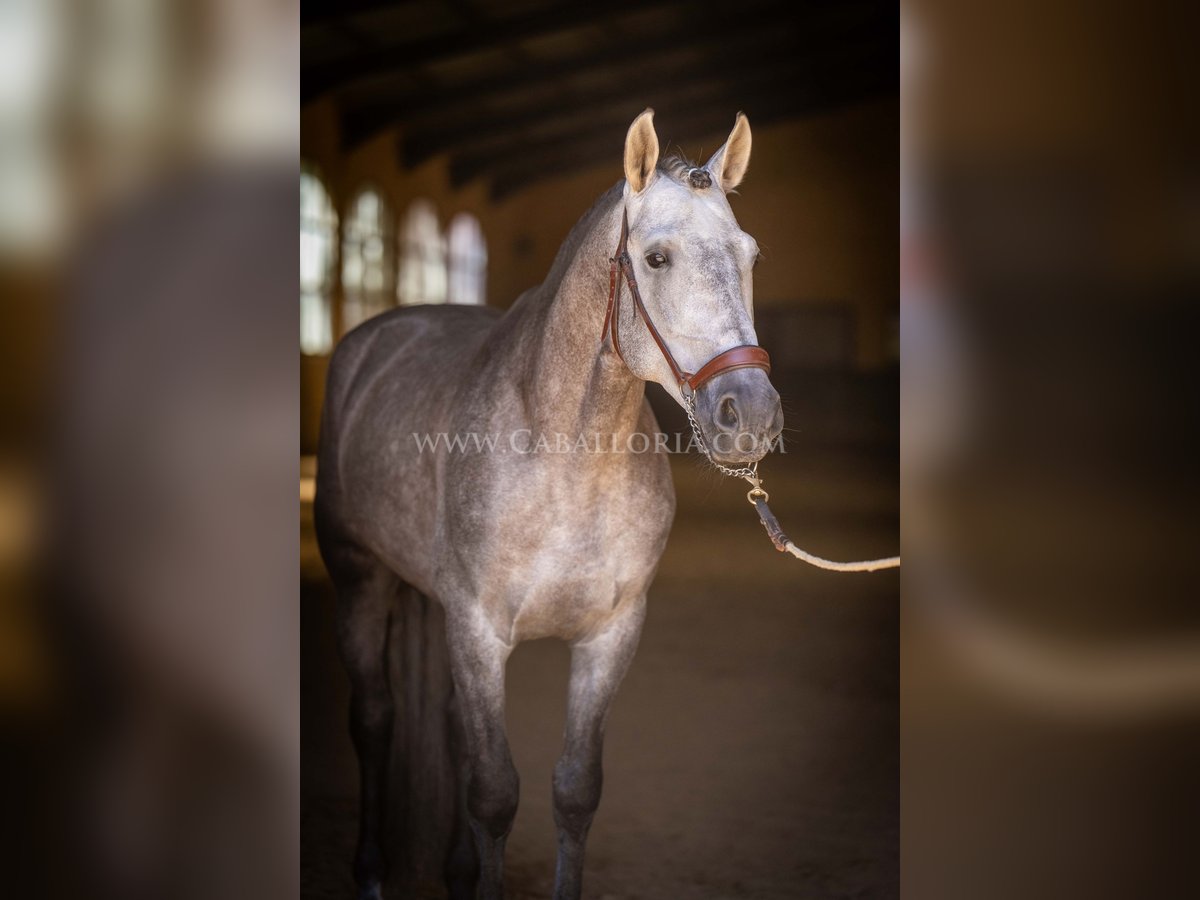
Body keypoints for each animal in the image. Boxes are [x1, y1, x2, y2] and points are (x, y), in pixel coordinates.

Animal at [316, 109, 787, 897]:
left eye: (749, 254)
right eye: (656, 258)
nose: (748, 414)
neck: (566, 459)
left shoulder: (609, 635)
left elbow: (573, 790)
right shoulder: (479, 632)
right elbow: (493, 793)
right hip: (361, 581)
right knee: (375, 720)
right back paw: (372, 874)